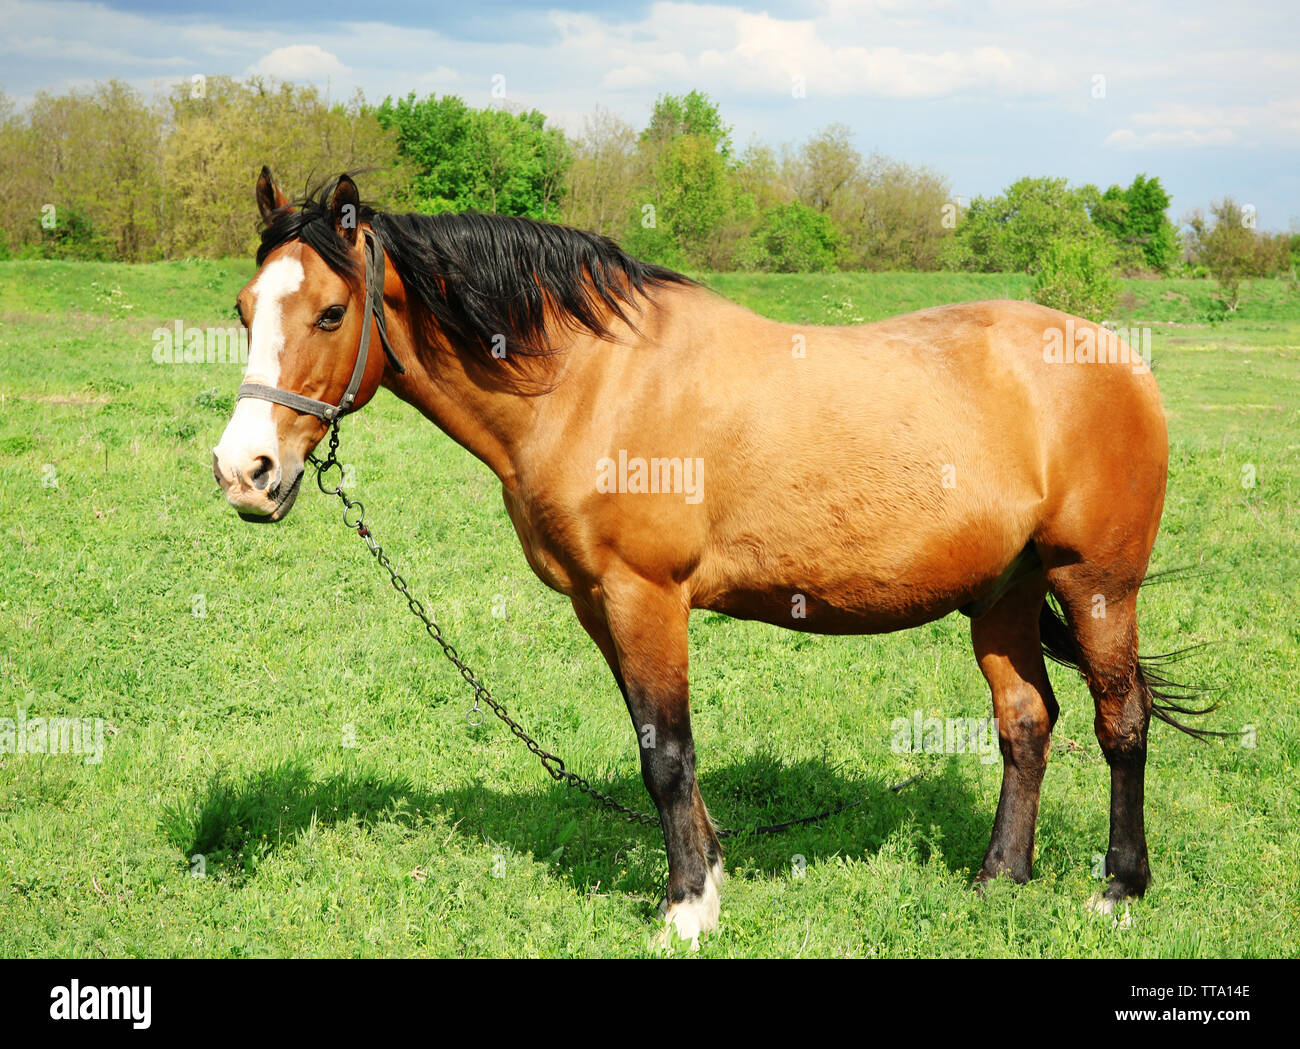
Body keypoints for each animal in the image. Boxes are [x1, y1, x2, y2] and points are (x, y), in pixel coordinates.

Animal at [213, 169, 1215, 948]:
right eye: (244, 308)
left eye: (331, 311)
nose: (243, 471)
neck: (592, 383)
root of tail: (1121, 360)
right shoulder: (599, 603)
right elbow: (659, 745)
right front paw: (712, 876)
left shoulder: (644, 594)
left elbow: (667, 754)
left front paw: (686, 909)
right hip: (1003, 592)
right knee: (1026, 721)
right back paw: (999, 875)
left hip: (1097, 584)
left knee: (1121, 723)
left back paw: (1118, 889)